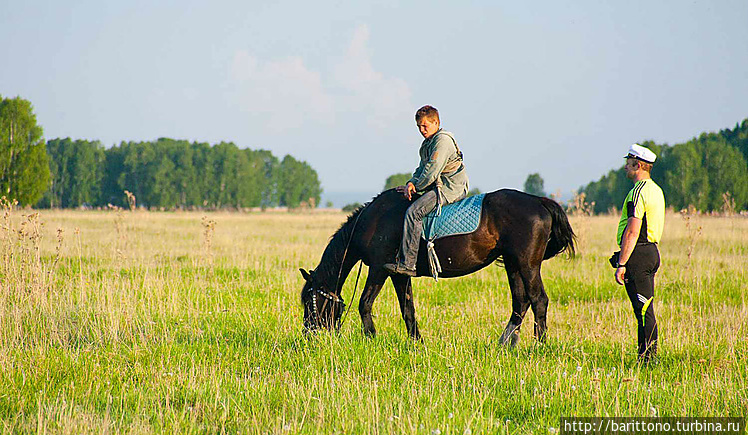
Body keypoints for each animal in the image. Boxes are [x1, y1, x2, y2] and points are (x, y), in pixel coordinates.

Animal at [298, 189, 572, 346]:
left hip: (527, 265)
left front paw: (371, 339)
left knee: (538, 300)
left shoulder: (378, 269)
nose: (308, 334)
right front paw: (416, 342)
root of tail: (539, 201)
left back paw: (539, 346)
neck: (373, 220)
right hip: (513, 265)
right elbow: (407, 308)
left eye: (311, 301)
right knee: (520, 302)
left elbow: (365, 303)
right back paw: (505, 344)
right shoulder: (398, 274)